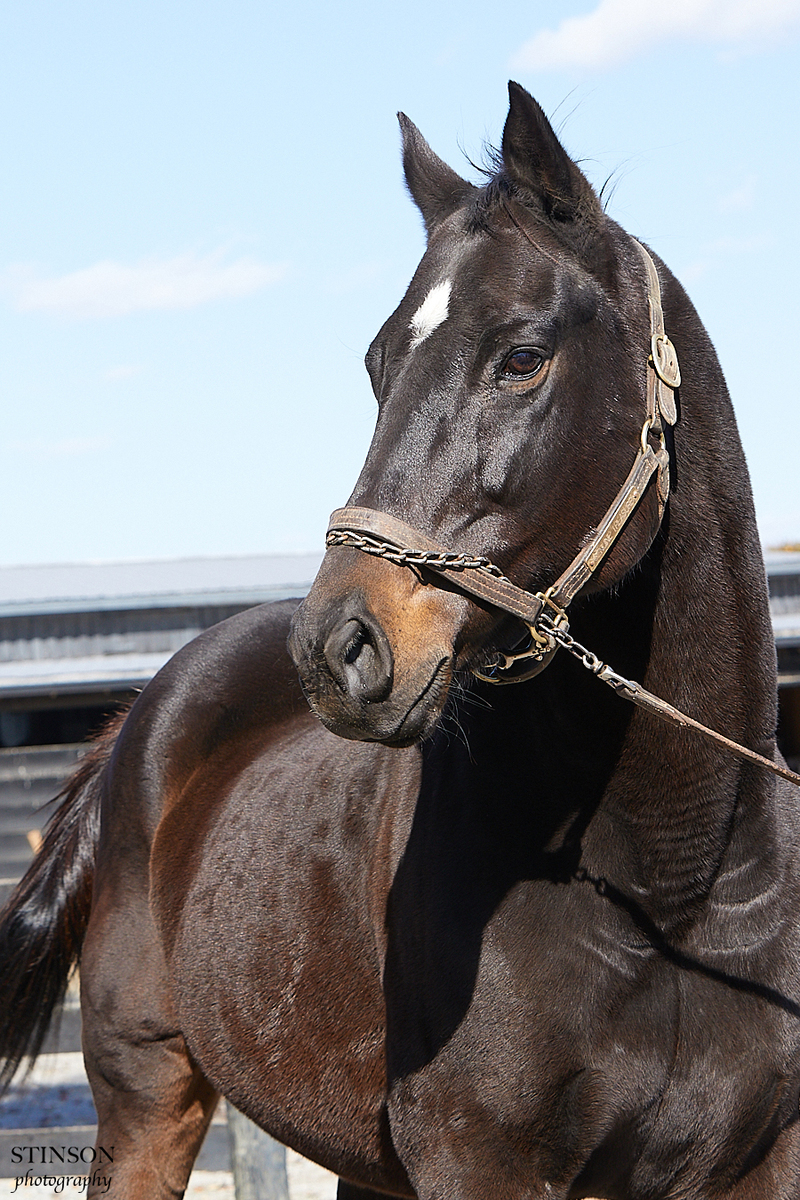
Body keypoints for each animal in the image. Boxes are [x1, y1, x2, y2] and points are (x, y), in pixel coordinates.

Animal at [2, 80, 800, 1199]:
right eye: (379, 367)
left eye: (521, 358)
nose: (338, 647)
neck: (670, 888)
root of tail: (135, 727)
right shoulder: (478, 1163)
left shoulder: (757, 1162)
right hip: (147, 1097)